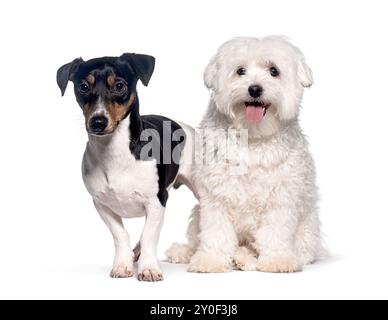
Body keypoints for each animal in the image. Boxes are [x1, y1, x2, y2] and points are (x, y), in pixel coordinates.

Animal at [167, 37, 324, 272]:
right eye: (240, 71)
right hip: (197, 214)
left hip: (306, 236)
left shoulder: (280, 198)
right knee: (197, 239)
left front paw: (278, 260)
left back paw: (244, 257)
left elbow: (275, 232)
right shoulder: (216, 196)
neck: (252, 135)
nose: (255, 89)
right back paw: (186, 252)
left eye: (274, 71)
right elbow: (216, 233)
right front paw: (210, 260)